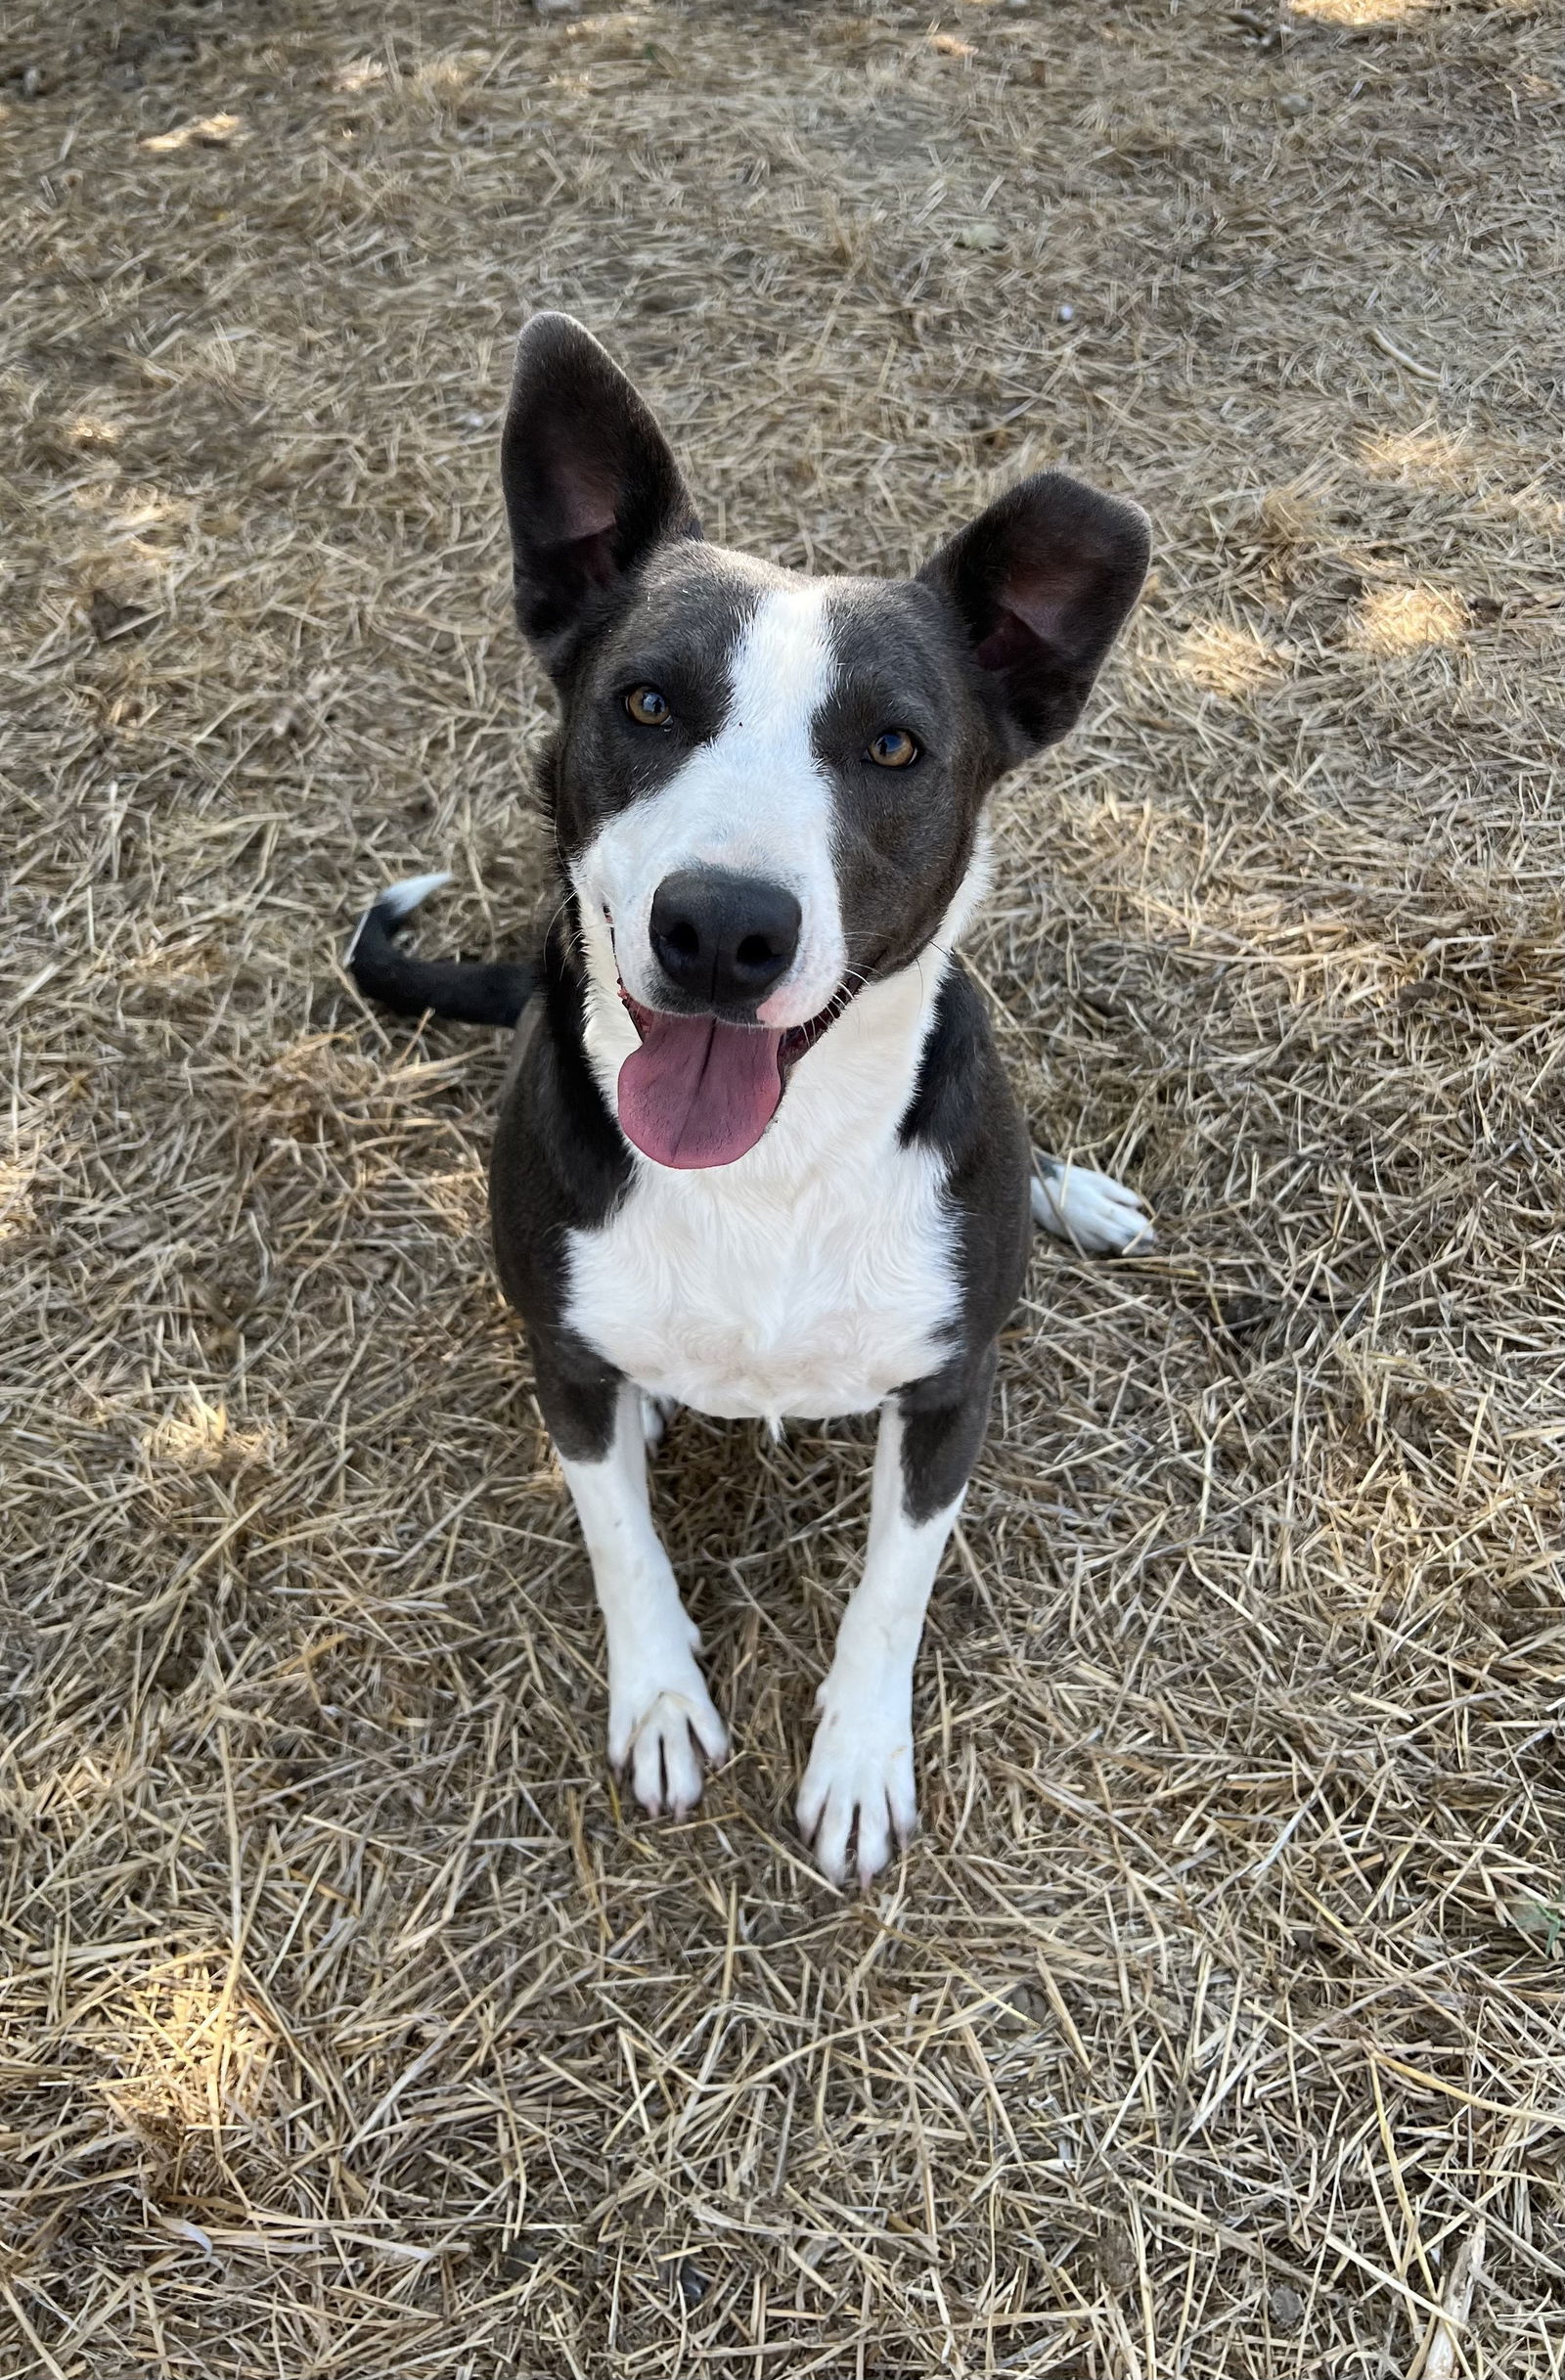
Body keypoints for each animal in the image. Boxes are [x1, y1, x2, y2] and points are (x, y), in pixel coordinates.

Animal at [347, 311, 1150, 1875]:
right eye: (648, 701)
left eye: (894, 745)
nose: (721, 929)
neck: (770, 1170)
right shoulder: (566, 1368)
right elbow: (621, 1542)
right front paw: (661, 1700)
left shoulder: (949, 1390)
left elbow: (891, 1595)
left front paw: (858, 1762)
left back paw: (1073, 1195)